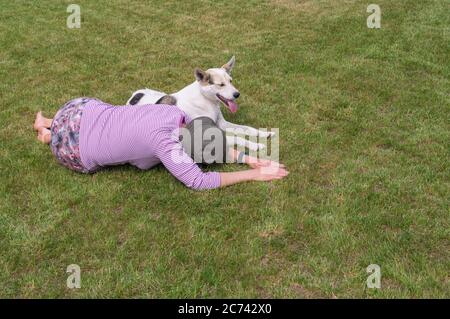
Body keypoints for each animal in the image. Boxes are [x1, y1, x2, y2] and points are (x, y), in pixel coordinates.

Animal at [126, 56, 274, 151]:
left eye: (231, 81)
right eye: (221, 85)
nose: (237, 94)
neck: (206, 101)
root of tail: (134, 97)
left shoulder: (222, 124)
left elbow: (247, 128)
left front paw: (264, 133)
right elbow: (238, 138)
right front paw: (255, 146)